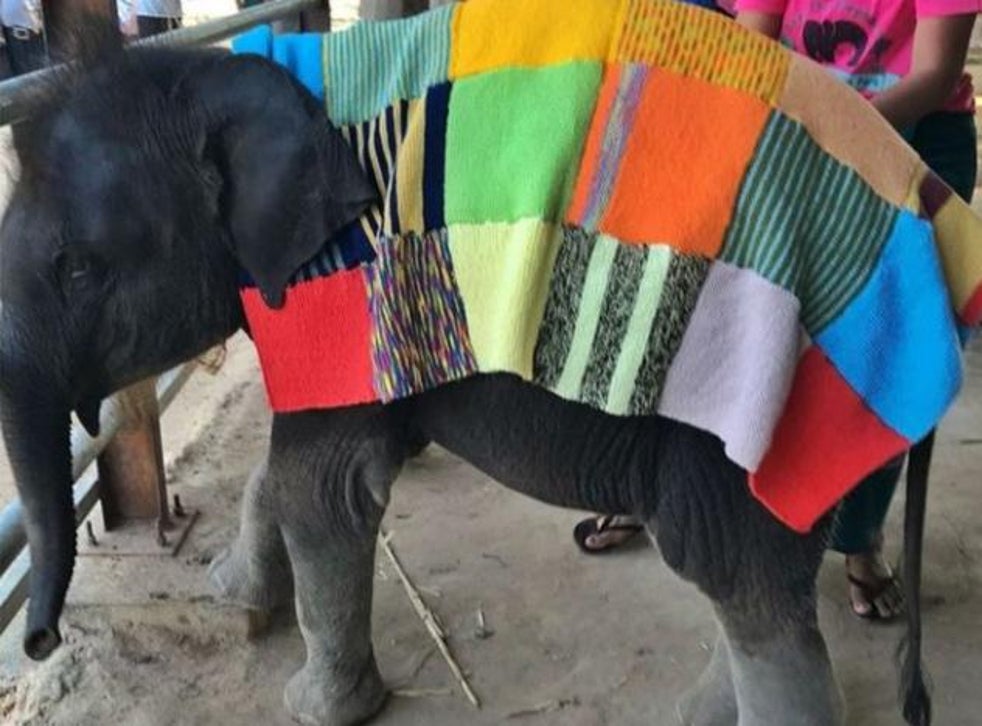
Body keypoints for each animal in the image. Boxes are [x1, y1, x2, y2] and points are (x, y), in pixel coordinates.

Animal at [0, 37, 937, 726]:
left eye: (78, 269)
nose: (38, 644)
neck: (204, 69)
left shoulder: (345, 277)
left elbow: (321, 485)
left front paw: (314, 708)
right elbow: (298, 466)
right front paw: (227, 593)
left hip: (766, 406)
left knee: (738, 580)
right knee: (737, 589)